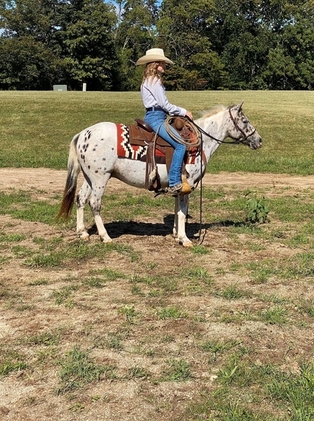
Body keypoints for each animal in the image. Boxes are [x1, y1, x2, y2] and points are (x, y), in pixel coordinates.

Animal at [57, 102, 262, 246]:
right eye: (245, 121)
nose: (259, 140)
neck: (200, 142)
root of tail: (83, 134)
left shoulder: (178, 187)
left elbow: (178, 210)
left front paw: (176, 234)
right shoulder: (188, 185)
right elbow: (182, 212)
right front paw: (184, 239)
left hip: (89, 178)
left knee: (81, 199)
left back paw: (82, 232)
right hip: (101, 177)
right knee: (94, 203)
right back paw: (105, 236)